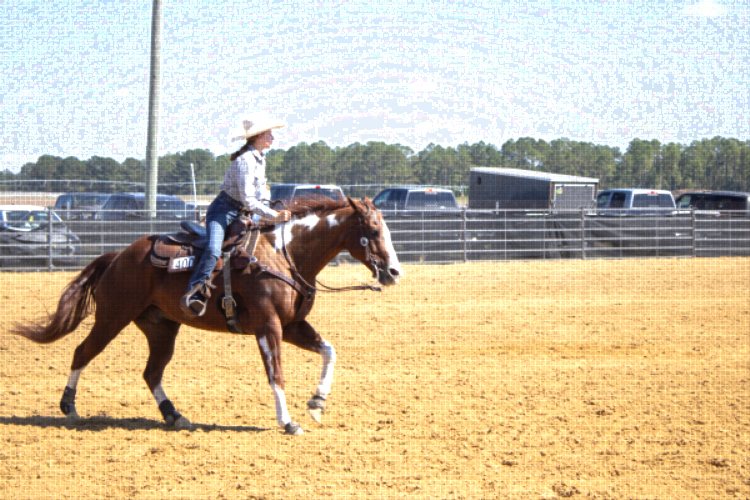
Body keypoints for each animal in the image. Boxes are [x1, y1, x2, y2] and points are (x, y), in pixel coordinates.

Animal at [12, 196, 403, 435]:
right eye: (372, 230)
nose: (394, 272)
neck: (284, 254)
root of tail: (118, 255)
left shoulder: (292, 326)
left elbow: (329, 351)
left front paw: (317, 403)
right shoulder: (269, 327)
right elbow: (276, 374)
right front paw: (288, 422)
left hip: (161, 328)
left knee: (151, 372)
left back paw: (175, 415)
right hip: (112, 317)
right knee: (83, 352)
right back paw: (69, 408)